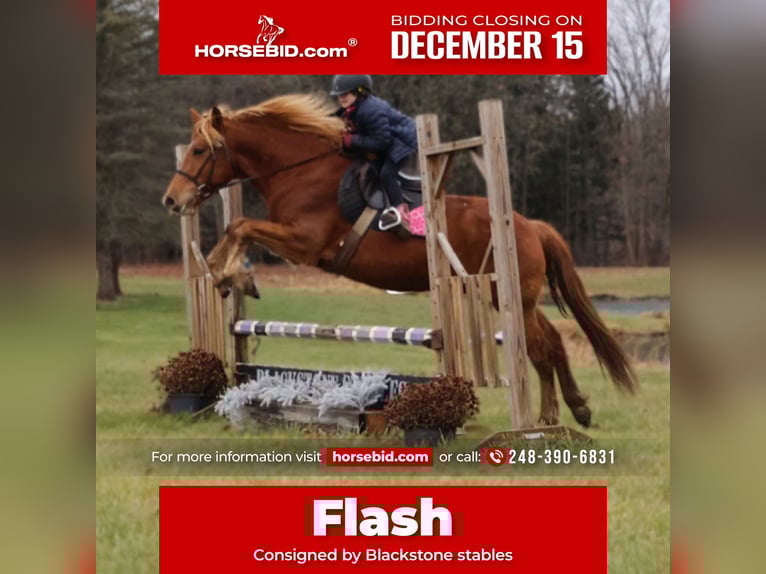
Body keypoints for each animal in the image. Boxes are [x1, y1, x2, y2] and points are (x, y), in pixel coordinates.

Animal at [162, 94, 637, 427]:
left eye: (202, 151)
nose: (172, 201)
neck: (297, 170)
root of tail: (526, 223)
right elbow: (236, 228)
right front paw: (229, 275)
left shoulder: (306, 243)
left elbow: (240, 226)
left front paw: (228, 276)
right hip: (516, 298)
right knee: (552, 342)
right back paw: (574, 410)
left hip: (506, 295)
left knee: (538, 349)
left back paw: (550, 418)